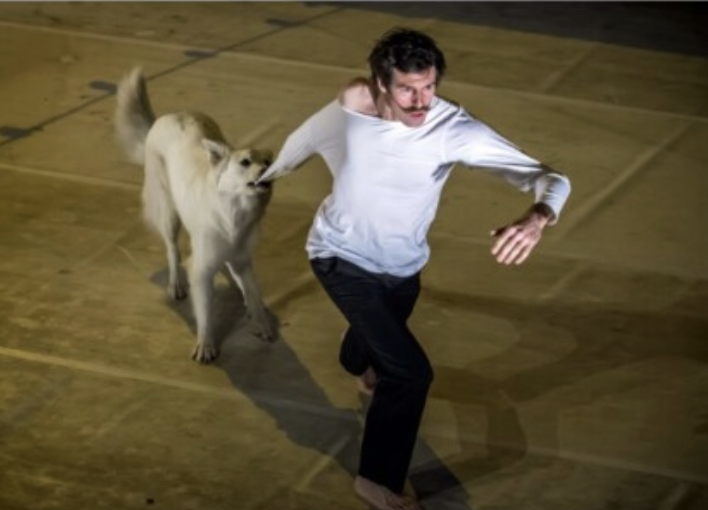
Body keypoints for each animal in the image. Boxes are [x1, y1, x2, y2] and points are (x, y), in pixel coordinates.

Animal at [114, 67, 276, 363]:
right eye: (245, 162)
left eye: (268, 162)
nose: (266, 173)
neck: (234, 214)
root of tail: (165, 117)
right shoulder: (202, 271)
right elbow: (205, 311)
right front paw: (206, 344)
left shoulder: (242, 258)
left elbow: (253, 292)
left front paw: (261, 322)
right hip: (169, 213)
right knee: (172, 249)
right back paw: (176, 282)